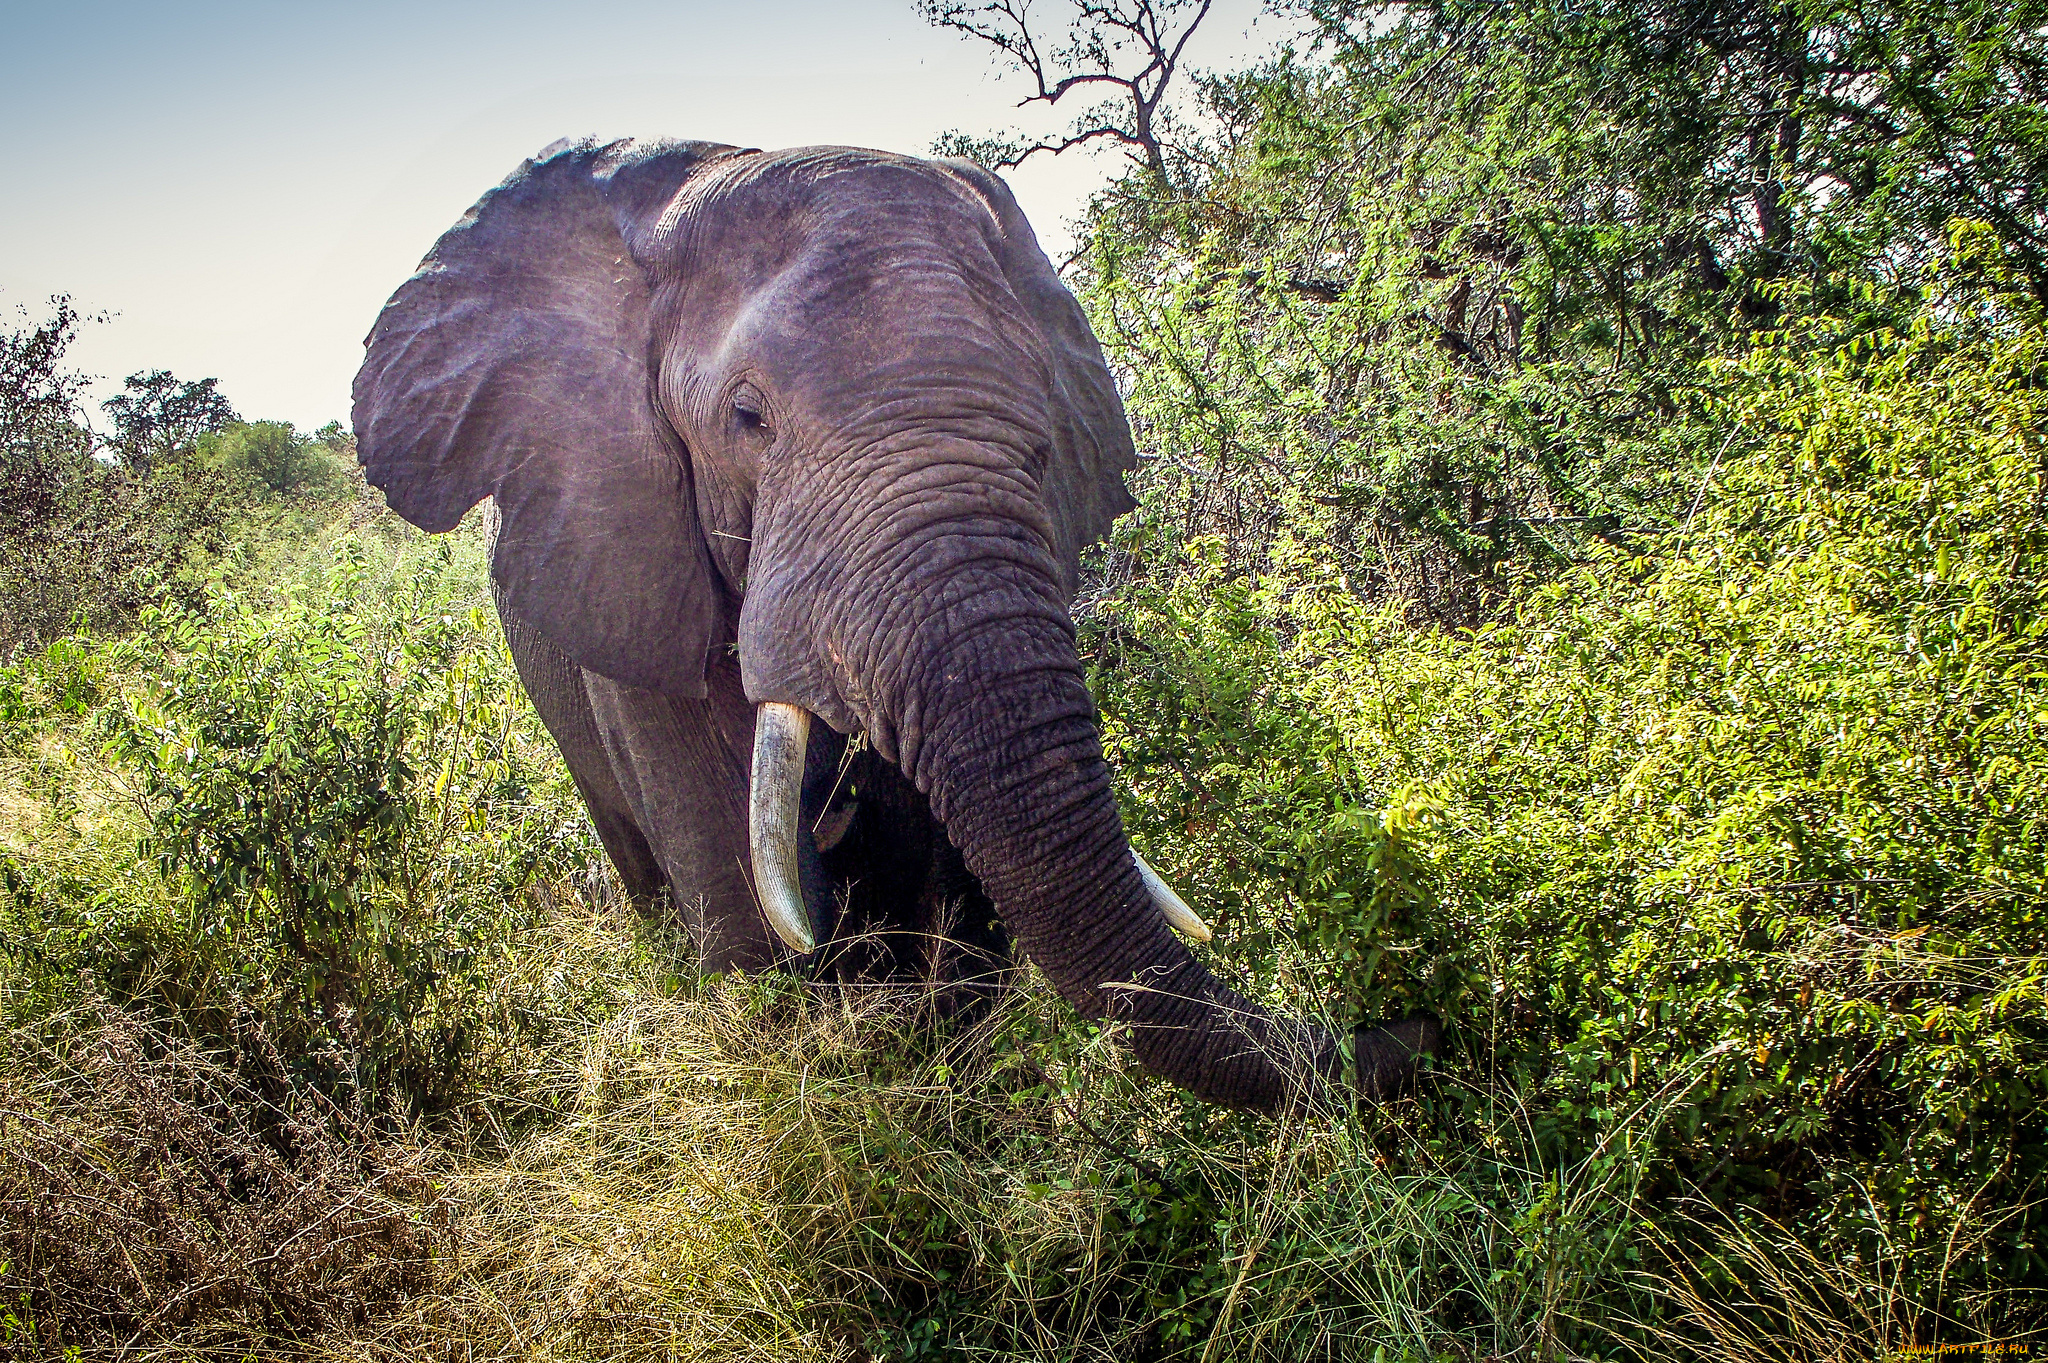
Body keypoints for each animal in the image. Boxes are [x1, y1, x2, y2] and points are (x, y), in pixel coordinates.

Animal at [352, 140, 1441, 1113]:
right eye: (746, 418)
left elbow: (956, 918)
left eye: (1041, 441)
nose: (1421, 1011)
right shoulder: (628, 565)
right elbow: (748, 932)